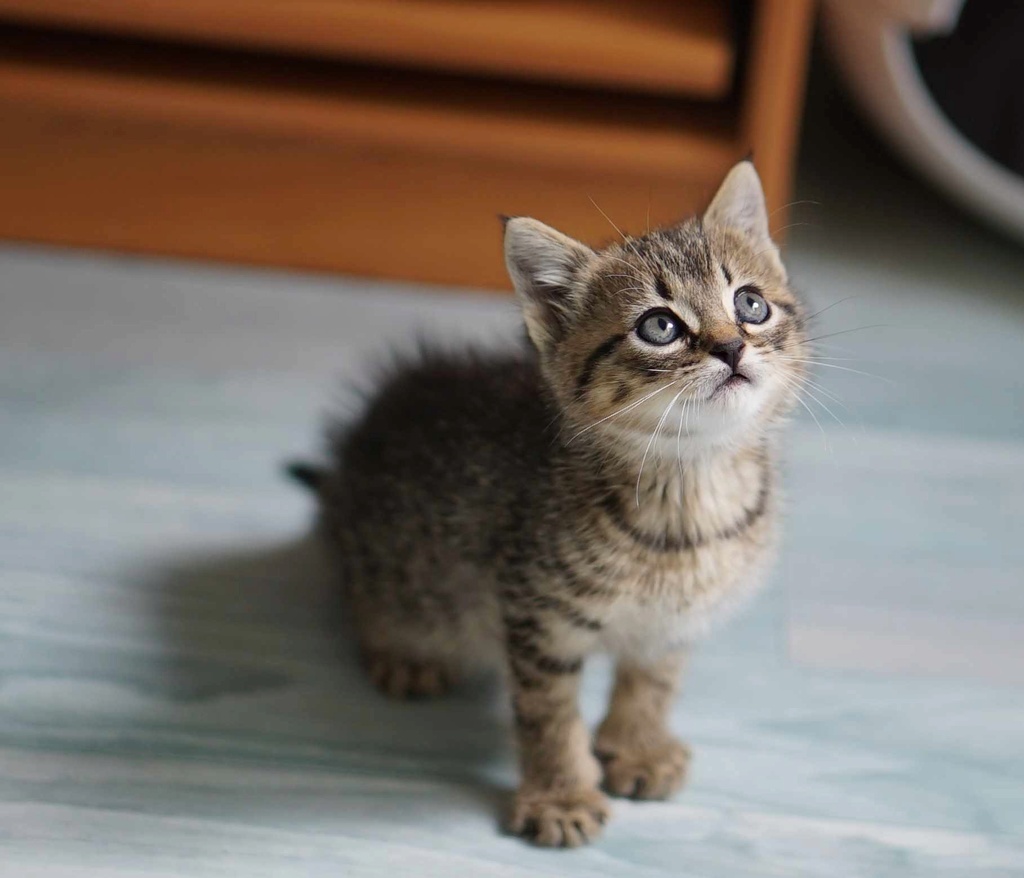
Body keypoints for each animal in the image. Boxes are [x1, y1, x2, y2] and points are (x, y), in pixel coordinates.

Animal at [290, 160, 806, 844]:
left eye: (750, 304)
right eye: (660, 326)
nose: (731, 346)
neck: (690, 490)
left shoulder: (669, 623)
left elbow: (654, 681)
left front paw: (637, 746)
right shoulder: (539, 620)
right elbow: (549, 716)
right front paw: (559, 796)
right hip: (402, 573)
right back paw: (402, 654)